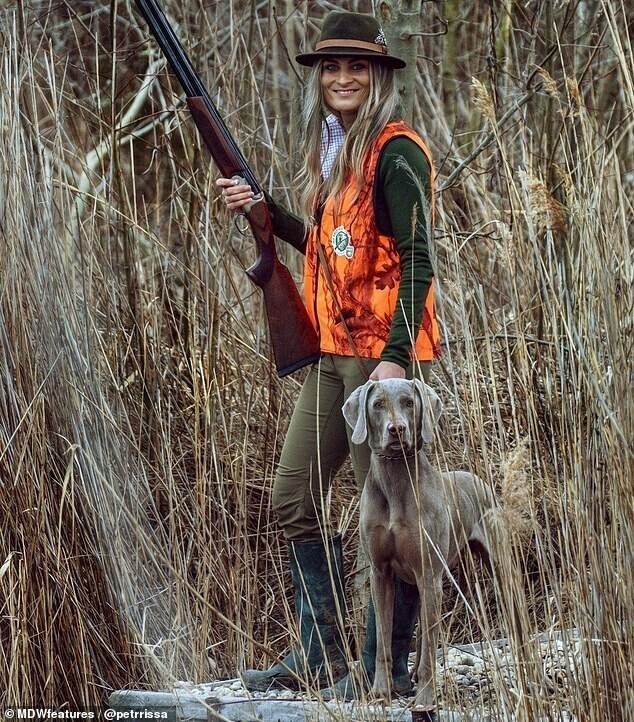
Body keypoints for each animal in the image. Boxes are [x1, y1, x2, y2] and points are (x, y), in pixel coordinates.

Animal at [340, 376, 494, 716]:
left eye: (409, 402)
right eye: (377, 404)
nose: (396, 429)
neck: (396, 478)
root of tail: (476, 478)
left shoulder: (428, 573)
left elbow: (428, 653)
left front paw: (425, 699)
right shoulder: (381, 574)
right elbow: (383, 639)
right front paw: (380, 691)